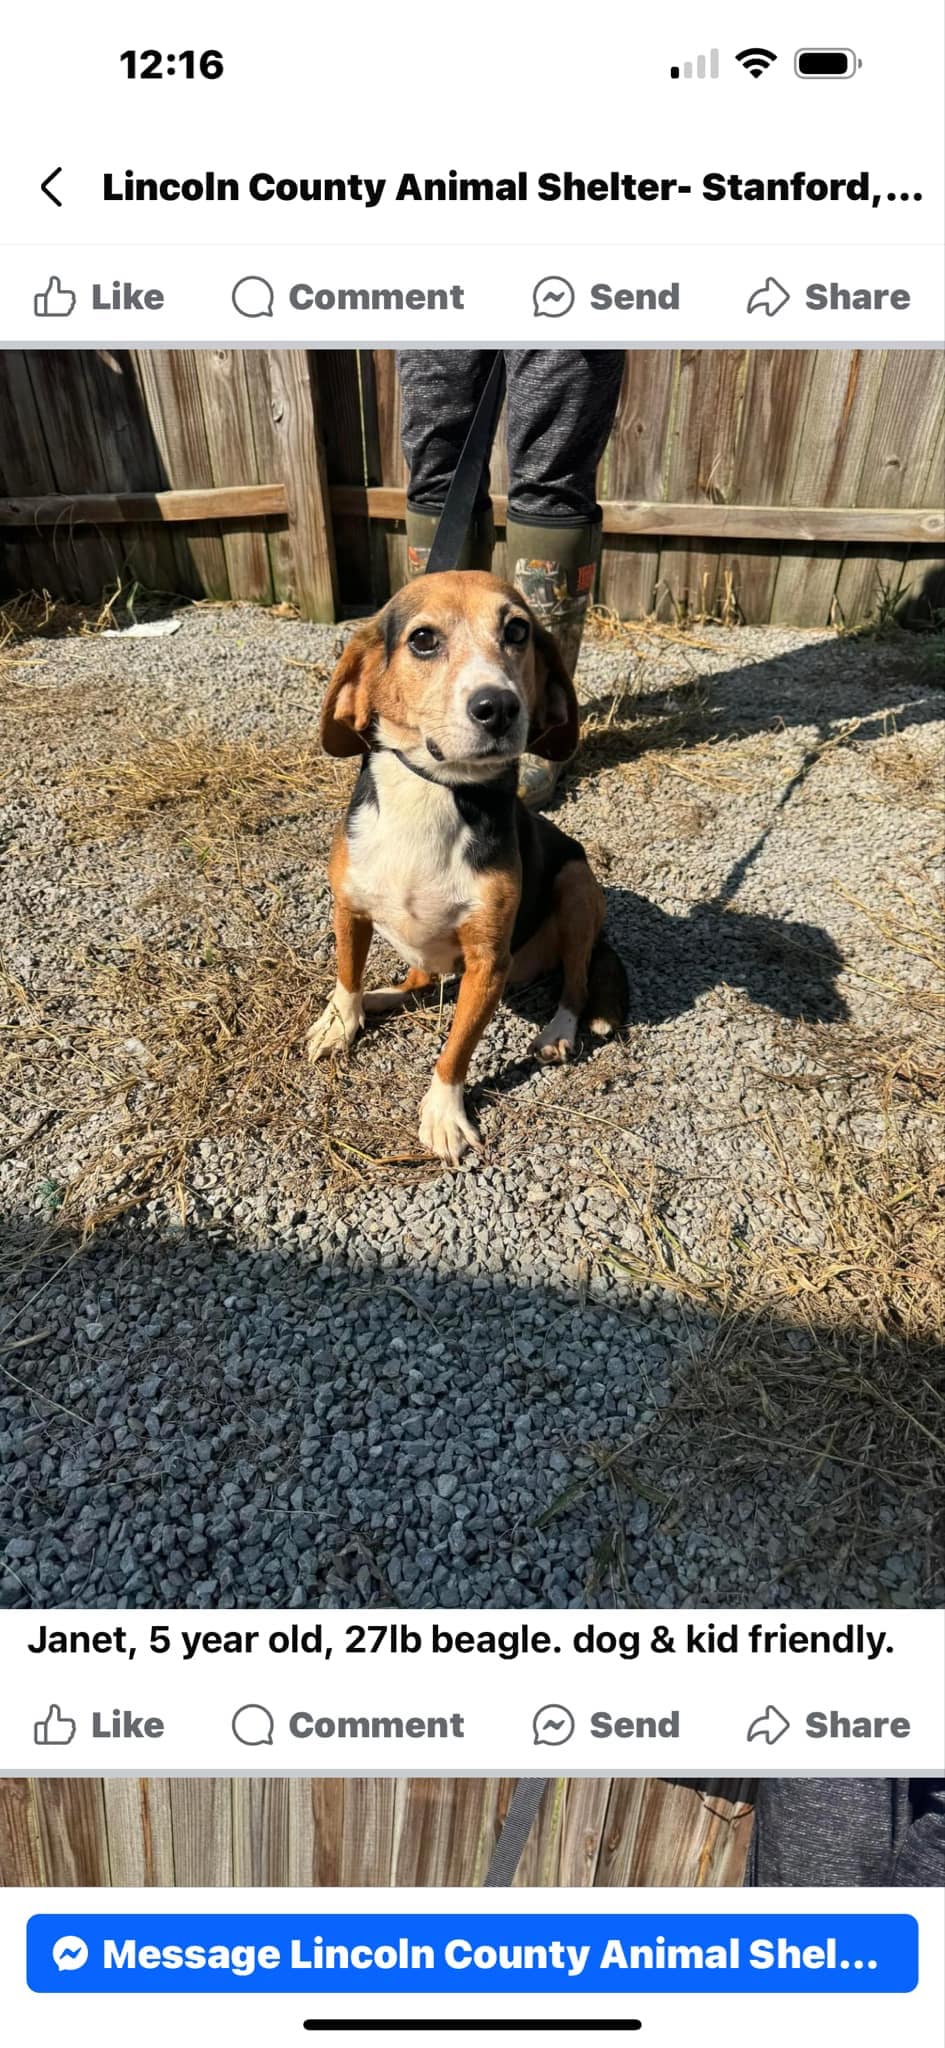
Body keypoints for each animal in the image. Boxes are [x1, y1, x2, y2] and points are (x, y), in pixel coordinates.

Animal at [307, 569, 627, 1163]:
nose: (498, 707)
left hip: (577, 884)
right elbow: (346, 978)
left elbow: (456, 1048)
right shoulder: (350, 909)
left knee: (574, 983)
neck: (435, 792)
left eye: (518, 631)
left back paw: (558, 1031)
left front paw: (444, 1114)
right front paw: (342, 1023)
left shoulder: (488, 963)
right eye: (423, 639)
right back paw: (382, 997)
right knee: (419, 980)